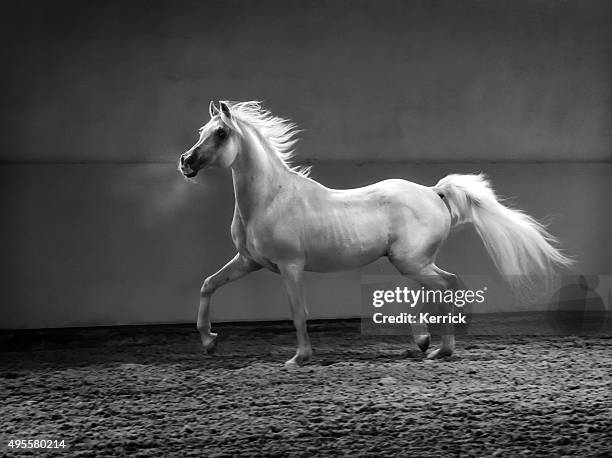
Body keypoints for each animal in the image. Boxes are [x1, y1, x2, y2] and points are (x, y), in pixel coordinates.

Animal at [178, 102, 572, 366]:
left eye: (221, 133)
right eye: (201, 131)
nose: (186, 162)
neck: (271, 198)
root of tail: (435, 192)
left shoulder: (291, 266)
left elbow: (298, 311)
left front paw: (299, 358)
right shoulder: (249, 261)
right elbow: (208, 285)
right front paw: (210, 342)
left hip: (410, 261)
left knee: (448, 283)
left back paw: (441, 349)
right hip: (415, 261)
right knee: (440, 285)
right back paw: (423, 342)